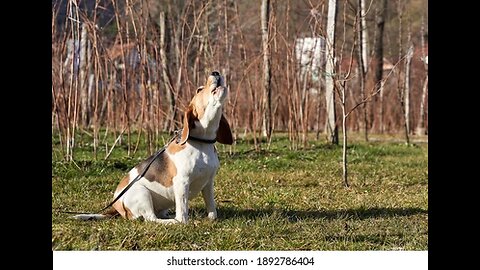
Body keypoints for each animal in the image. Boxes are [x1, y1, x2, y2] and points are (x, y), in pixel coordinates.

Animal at [74, 71, 232, 224]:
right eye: (199, 89)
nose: (216, 72)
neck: (202, 143)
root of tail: (116, 206)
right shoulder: (182, 182)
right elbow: (182, 214)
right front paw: (184, 222)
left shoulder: (208, 183)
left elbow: (212, 208)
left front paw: (212, 219)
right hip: (142, 193)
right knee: (152, 219)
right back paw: (171, 221)